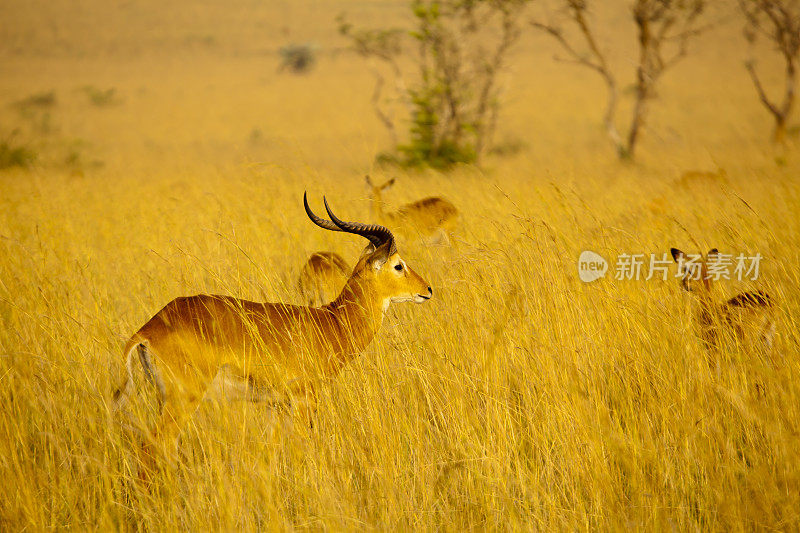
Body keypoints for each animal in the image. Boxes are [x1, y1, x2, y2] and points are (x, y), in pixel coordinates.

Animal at [112, 194, 432, 474]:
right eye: (398, 265)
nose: (427, 289)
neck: (332, 323)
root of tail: (148, 329)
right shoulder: (304, 399)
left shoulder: (274, 405)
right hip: (183, 399)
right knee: (153, 446)